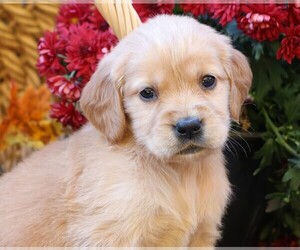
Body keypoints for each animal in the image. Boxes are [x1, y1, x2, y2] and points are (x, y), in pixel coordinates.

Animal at [0, 15, 252, 246]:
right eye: (147, 93)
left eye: (208, 80)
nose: (188, 126)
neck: (179, 173)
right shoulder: (112, 236)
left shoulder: (202, 234)